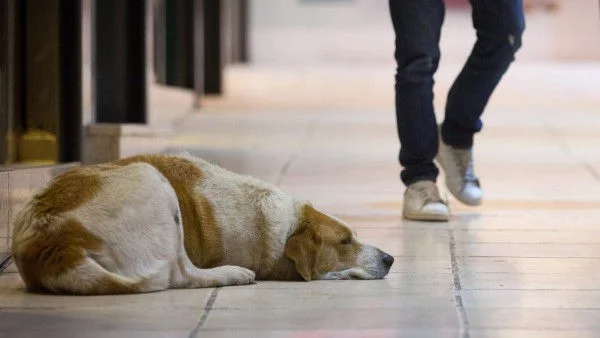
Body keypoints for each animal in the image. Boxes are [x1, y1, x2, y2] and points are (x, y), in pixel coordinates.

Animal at [10, 153, 394, 294]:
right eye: (344, 241)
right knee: (180, 274)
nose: (390, 258)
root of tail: (53, 244)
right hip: (151, 179)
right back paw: (233, 274)